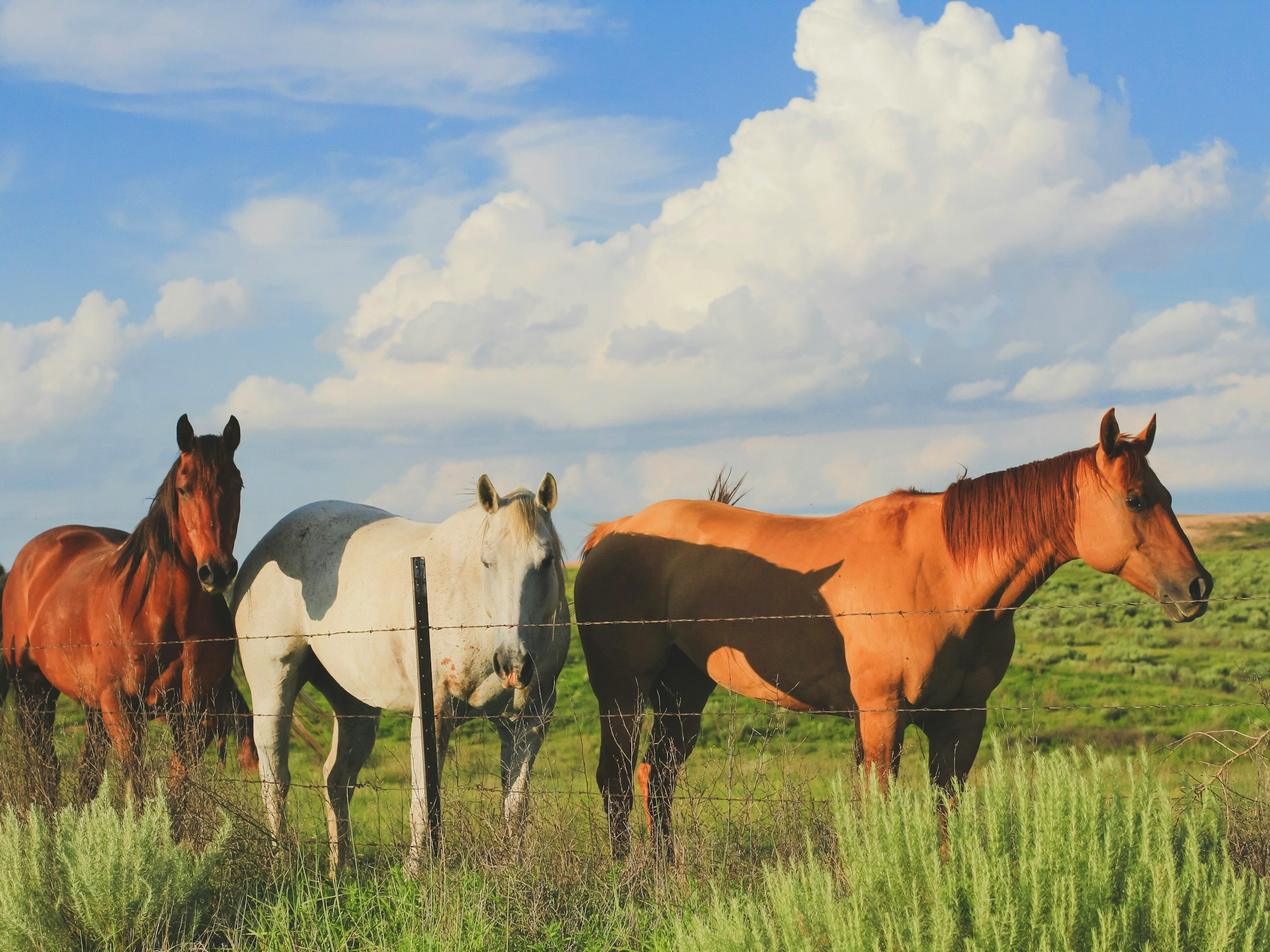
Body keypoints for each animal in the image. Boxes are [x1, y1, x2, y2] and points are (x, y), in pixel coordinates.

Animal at [0, 414, 253, 807]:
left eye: (236, 483)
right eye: (184, 489)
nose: (218, 570)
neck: (166, 617)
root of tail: (29, 558)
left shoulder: (196, 714)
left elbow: (176, 794)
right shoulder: (122, 708)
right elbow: (140, 788)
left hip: (90, 706)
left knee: (86, 774)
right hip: (34, 690)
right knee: (45, 770)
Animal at [232, 474, 570, 877]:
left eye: (546, 561)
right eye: (487, 562)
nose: (512, 664)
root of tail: (261, 552)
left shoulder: (529, 722)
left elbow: (515, 805)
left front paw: (514, 869)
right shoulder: (433, 713)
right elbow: (423, 800)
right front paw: (414, 872)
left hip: (355, 707)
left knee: (337, 779)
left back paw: (340, 869)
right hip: (274, 687)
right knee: (275, 778)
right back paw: (281, 862)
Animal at [575, 409, 1213, 860]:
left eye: (1168, 496)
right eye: (1136, 499)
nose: (1197, 586)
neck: (945, 576)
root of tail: (611, 532)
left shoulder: (961, 721)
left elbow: (944, 810)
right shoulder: (883, 715)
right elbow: (878, 809)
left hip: (684, 689)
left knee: (657, 777)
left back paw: (666, 874)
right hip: (623, 693)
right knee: (616, 781)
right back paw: (625, 879)